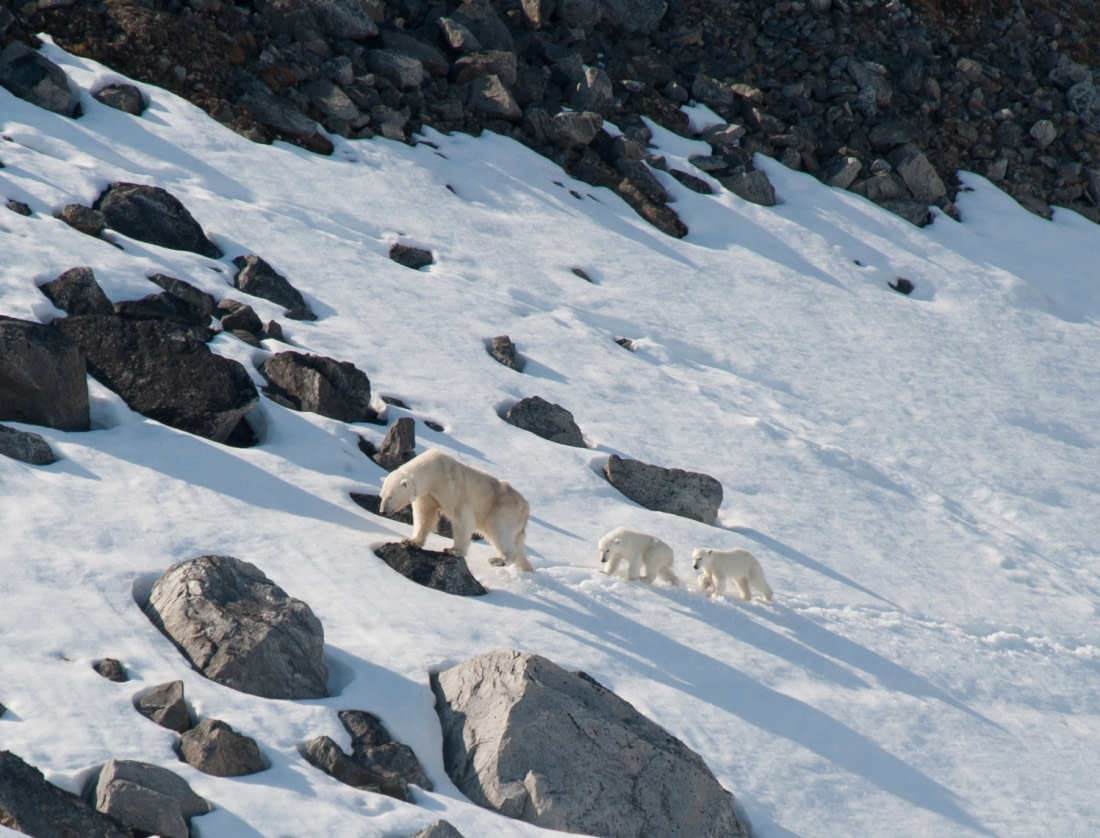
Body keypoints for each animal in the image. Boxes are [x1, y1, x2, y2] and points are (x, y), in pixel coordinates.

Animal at [379, 449, 533, 571]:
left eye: (391, 496)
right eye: (382, 495)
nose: (383, 511)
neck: (432, 471)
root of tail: (526, 508)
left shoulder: (449, 486)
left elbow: (461, 517)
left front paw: (453, 550)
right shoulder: (427, 494)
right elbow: (424, 515)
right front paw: (411, 541)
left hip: (503, 508)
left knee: (499, 528)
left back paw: (498, 560)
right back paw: (527, 567)